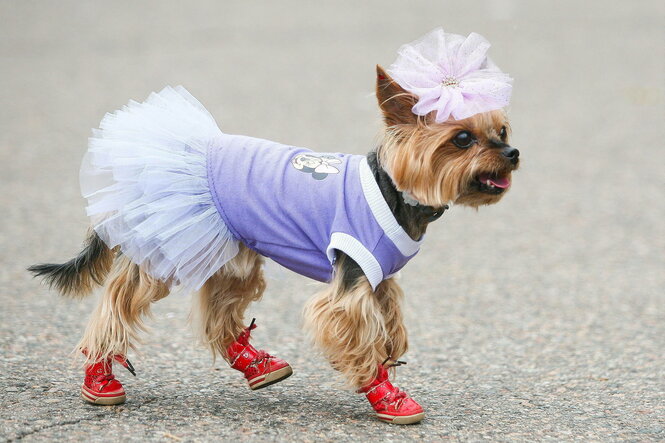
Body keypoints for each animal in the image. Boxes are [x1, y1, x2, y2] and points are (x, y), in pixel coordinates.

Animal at [28, 28, 516, 426]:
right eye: (462, 139)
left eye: (503, 131)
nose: (512, 154)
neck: (398, 193)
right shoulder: (350, 285)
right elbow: (359, 336)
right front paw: (385, 393)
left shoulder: (378, 277)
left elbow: (389, 325)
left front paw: (390, 361)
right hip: (167, 249)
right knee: (117, 303)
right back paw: (100, 376)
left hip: (230, 251)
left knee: (220, 314)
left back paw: (257, 365)